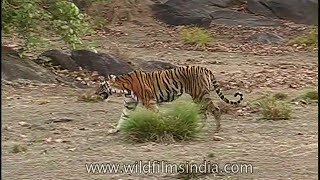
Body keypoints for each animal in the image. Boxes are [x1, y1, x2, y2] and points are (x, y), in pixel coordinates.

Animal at [95, 65, 242, 133]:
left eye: (101, 85)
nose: (95, 92)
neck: (123, 87)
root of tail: (206, 68)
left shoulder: (149, 101)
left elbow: (157, 113)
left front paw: (161, 125)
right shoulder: (129, 104)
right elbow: (123, 117)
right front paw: (115, 130)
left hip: (200, 95)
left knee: (214, 110)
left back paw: (215, 129)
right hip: (199, 97)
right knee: (205, 113)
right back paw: (200, 128)